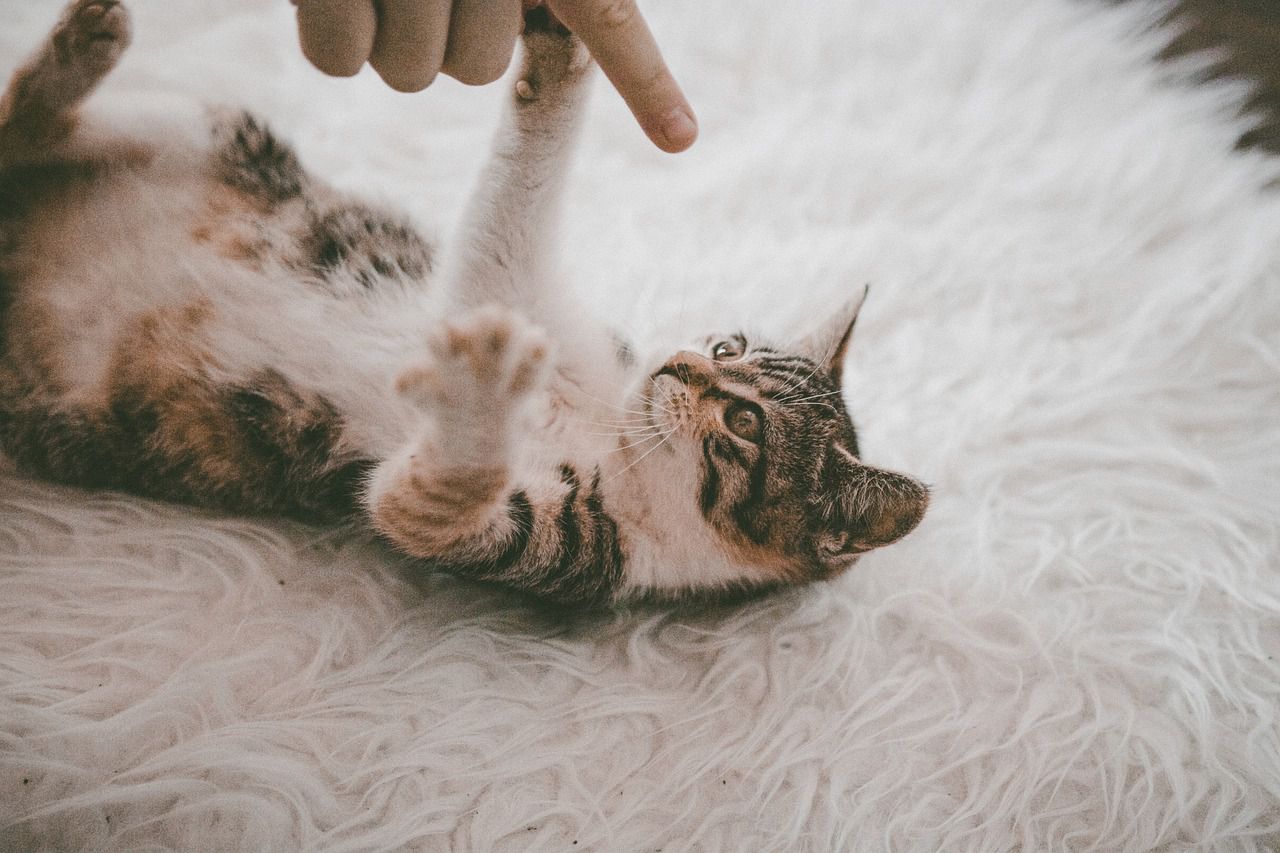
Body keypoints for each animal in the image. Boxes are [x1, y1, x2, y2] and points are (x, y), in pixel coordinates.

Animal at [0, 0, 926, 604]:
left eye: (742, 421)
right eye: (727, 344)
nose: (682, 362)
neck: (610, 424)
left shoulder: (557, 548)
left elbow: (427, 501)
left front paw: (478, 391)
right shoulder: (510, 285)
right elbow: (514, 205)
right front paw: (562, 45)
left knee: (16, 144)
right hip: (211, 127)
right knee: (31, 133)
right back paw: (78, 55)